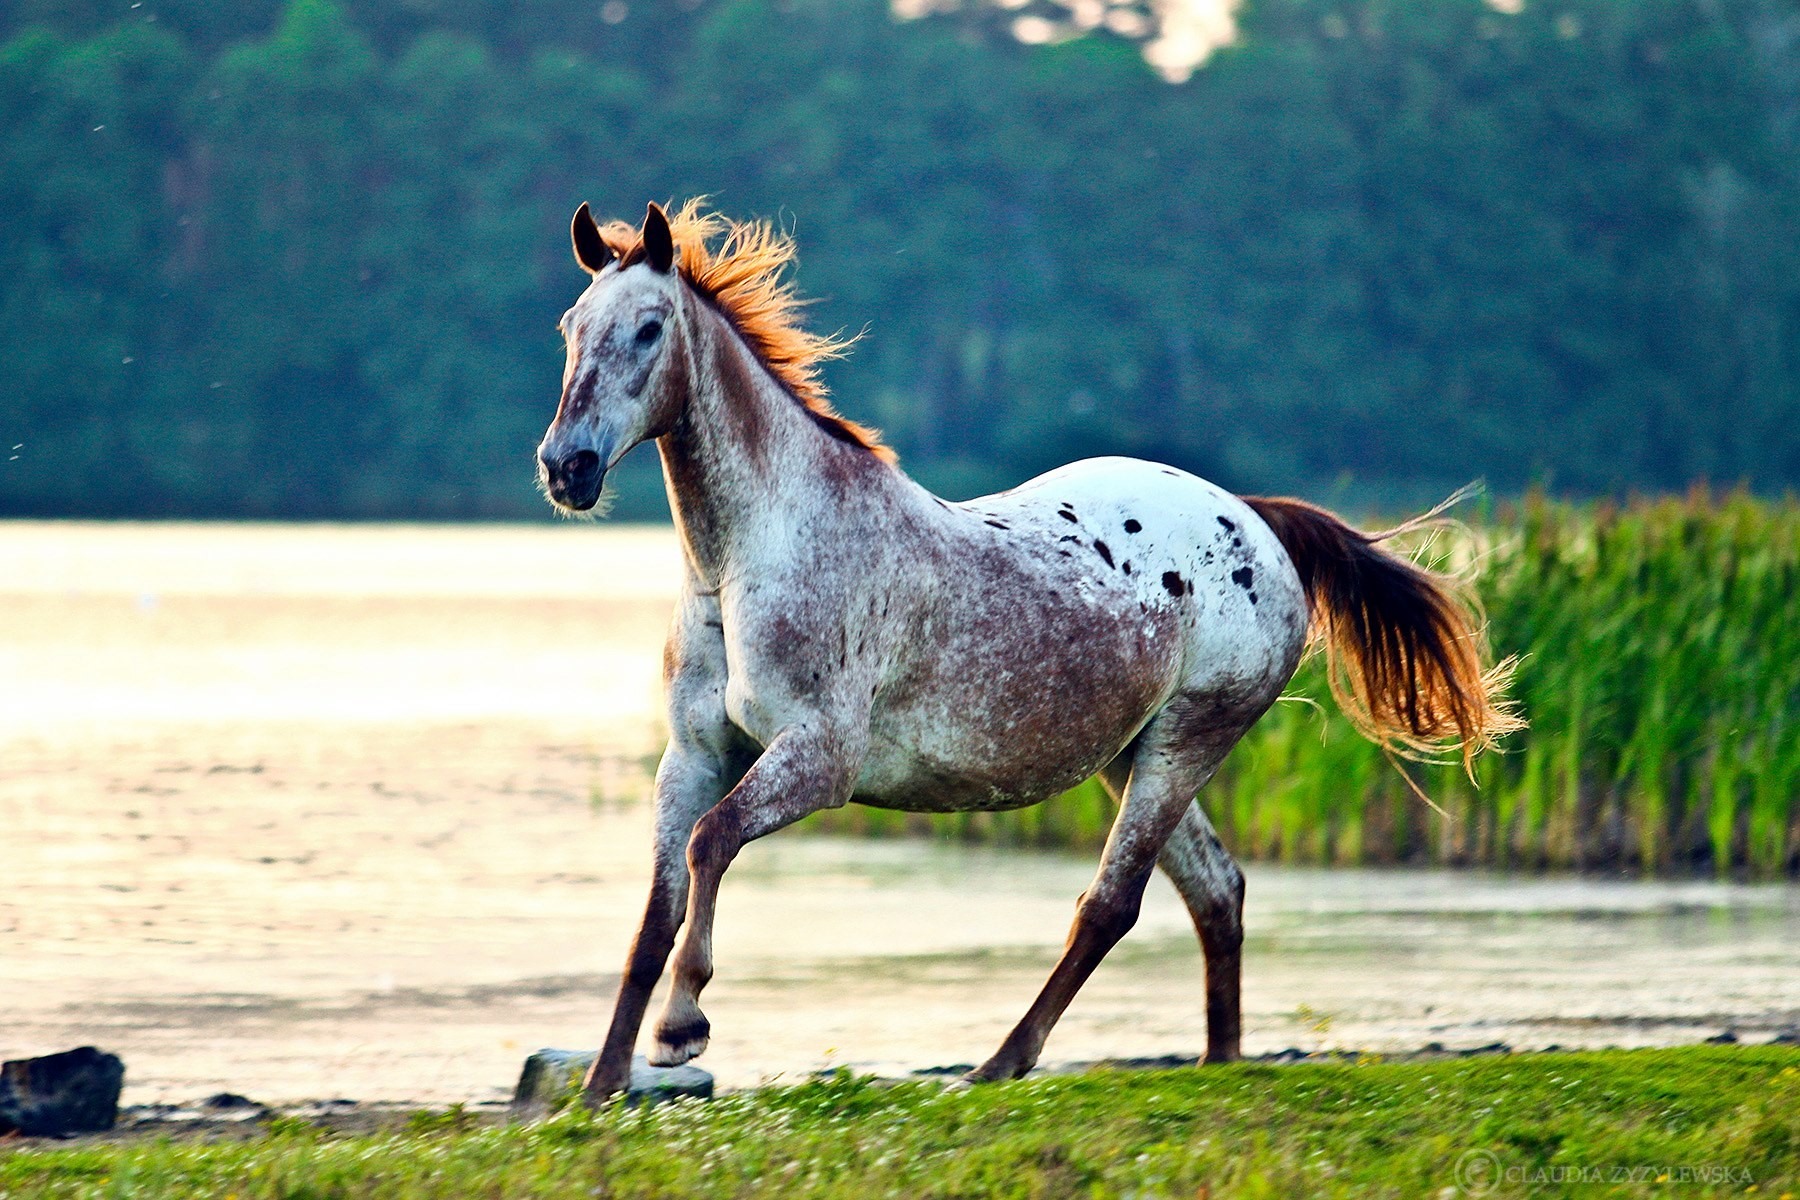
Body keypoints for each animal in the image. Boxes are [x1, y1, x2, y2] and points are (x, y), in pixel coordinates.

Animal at [532, 199, 1519, 1108]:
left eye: (649, 328)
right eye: (571, 327)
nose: (565, 468)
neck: (745, 562)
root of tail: (1256, 518)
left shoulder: (818, 760)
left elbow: (710, 846)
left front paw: (681, 1030)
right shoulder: (694, 757)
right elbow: (656, 912)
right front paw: (601, 1087)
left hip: (1186, 743)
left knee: (1110, 906)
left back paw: (1000, 1064)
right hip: (1134, 755)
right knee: (1217, 892)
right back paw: (1217, 1066)